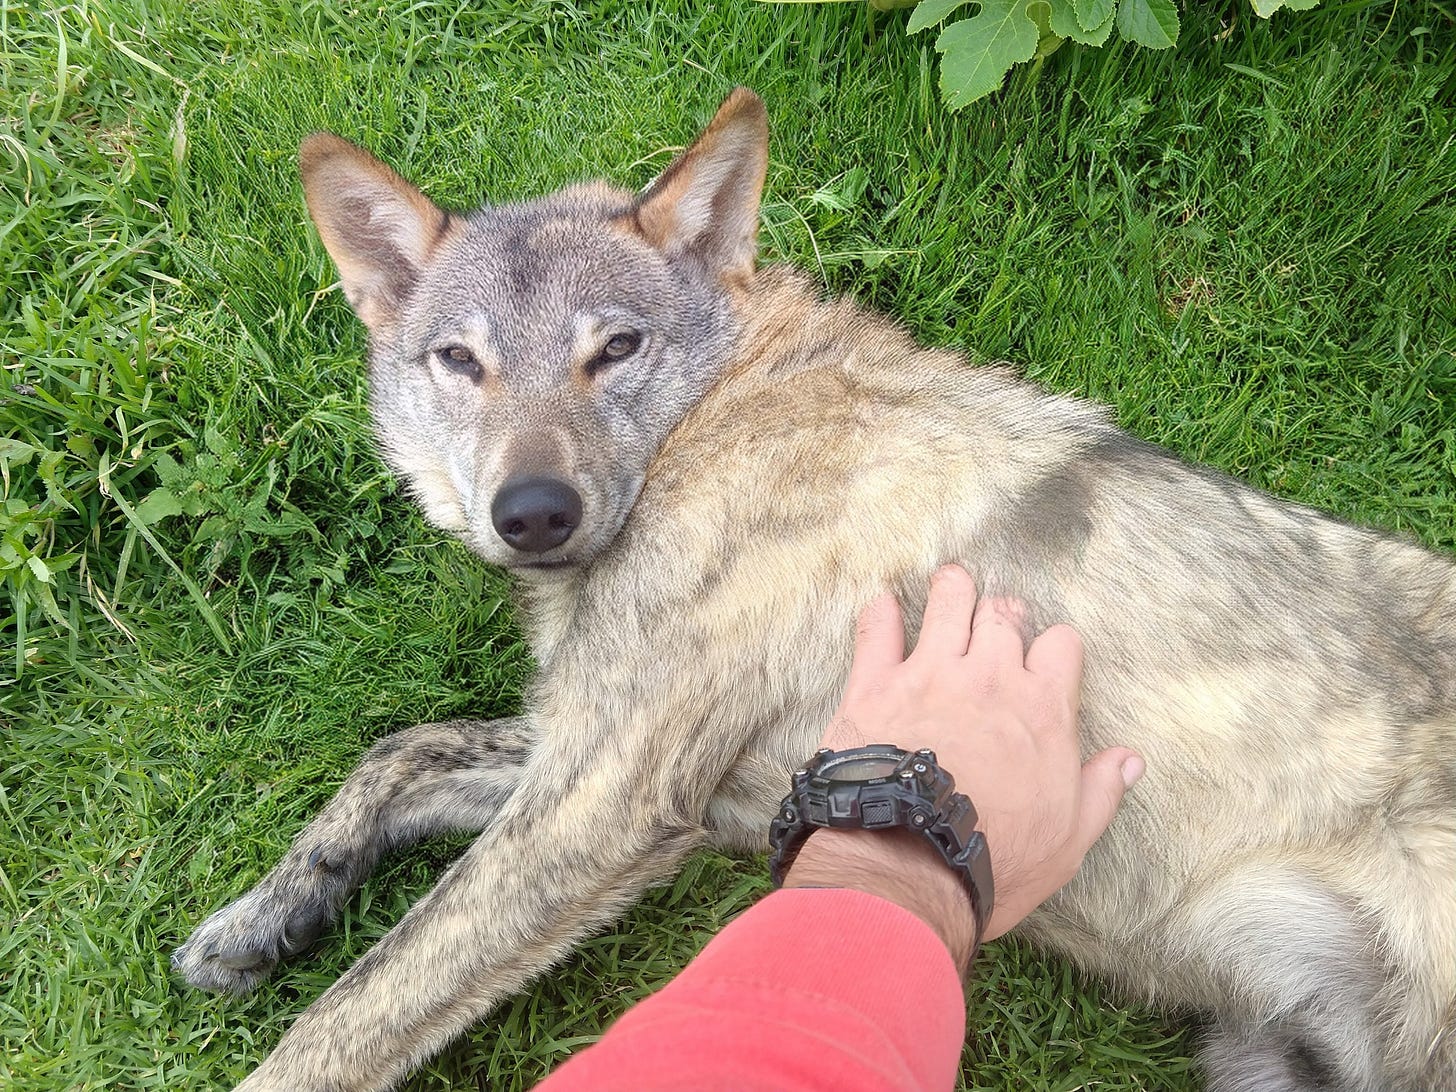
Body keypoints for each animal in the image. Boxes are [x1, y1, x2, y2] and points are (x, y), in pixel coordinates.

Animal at [173, 88, 1456, 1091]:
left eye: (614, 350)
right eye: (460, 361)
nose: (532, 514)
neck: (716, 415)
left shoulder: (610, 798)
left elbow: (349, 1015)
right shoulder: (622, 762)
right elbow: (395, 755)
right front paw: (266, 917)